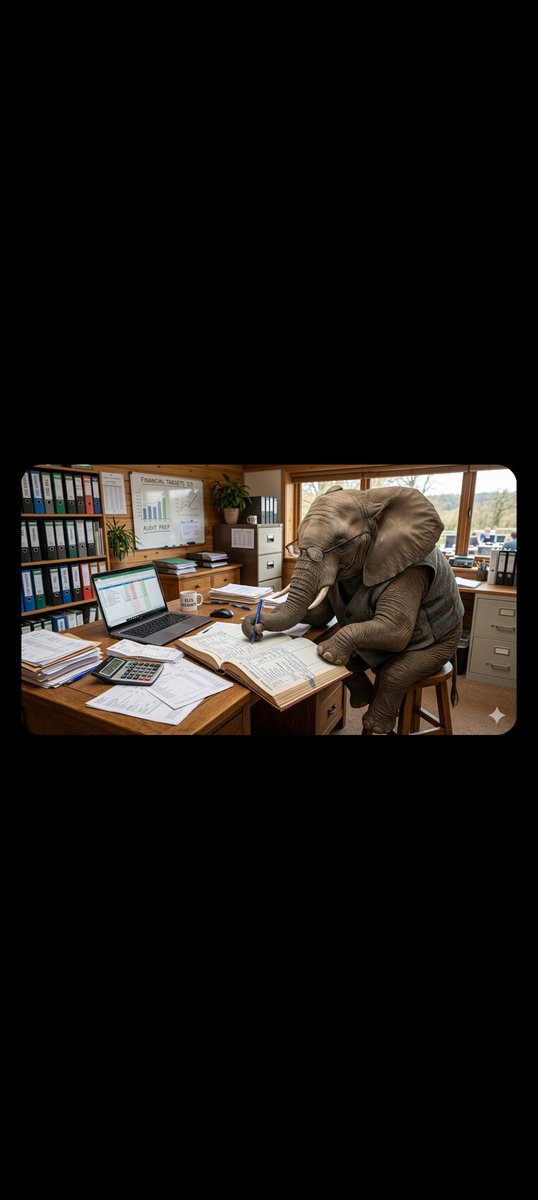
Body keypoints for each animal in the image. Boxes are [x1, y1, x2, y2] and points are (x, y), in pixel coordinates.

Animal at [242, 486, 465, 734]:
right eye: (295, 547)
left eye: (341, 544)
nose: (256, 631)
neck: (370, 498)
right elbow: (321, 615)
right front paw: (254, 621)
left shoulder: (409, 568)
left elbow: (396, 628)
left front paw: (326, 653)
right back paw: (362, 699)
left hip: (443, 644)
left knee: (398, 671)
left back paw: (374, 724)